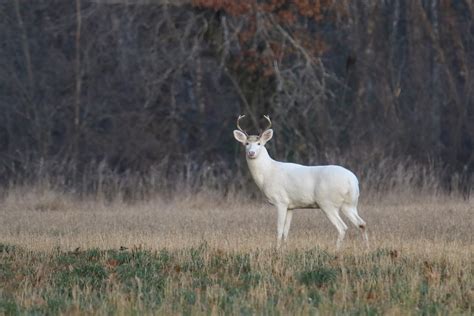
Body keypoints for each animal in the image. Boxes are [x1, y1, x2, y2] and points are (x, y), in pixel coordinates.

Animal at [234, 114, 370, 249]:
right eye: (246, 143)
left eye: (259, 143)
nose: (251, 153)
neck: (267, 173)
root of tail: (352, 181)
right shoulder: (291, 206)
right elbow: (286, 231)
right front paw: (284, 248)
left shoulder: (281, 201)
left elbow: (279, 229)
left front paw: (276, 249)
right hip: (350, 204)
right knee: (362, 223)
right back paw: (366, 248)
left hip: (327, 202)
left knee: (342, 227)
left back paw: (336, 249)